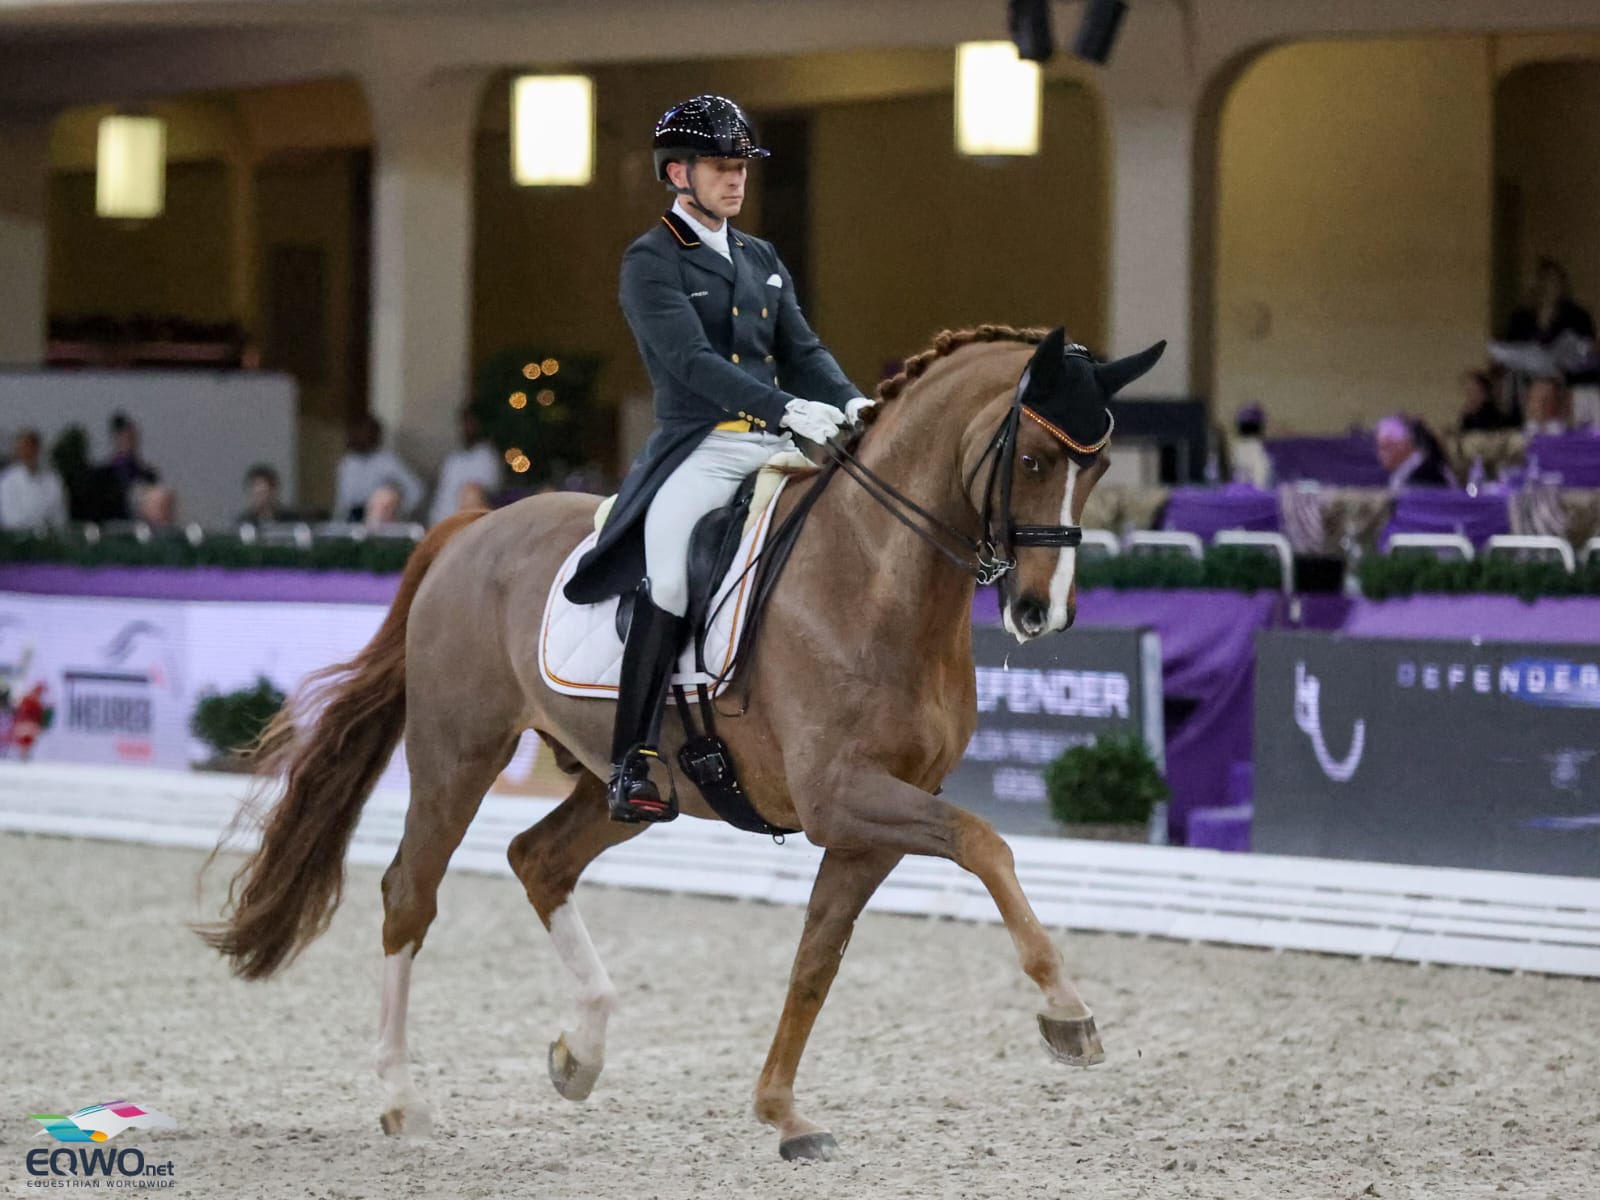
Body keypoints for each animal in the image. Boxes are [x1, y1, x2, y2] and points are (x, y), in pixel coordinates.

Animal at [203, 324, 1152, 1158]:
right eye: (1033, 460)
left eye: (1101, 465)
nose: (1041, 612)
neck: (874, 574)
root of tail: (470, 529)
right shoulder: (843, 797)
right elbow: (986, 843)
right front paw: (1068, 1014)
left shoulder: (868, 822)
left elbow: (818, 955)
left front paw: (782, 1114)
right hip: (456, 753)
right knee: (411, 893)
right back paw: (403, 1101)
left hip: (625, 785)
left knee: (538, 858)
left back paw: (579, 1055)